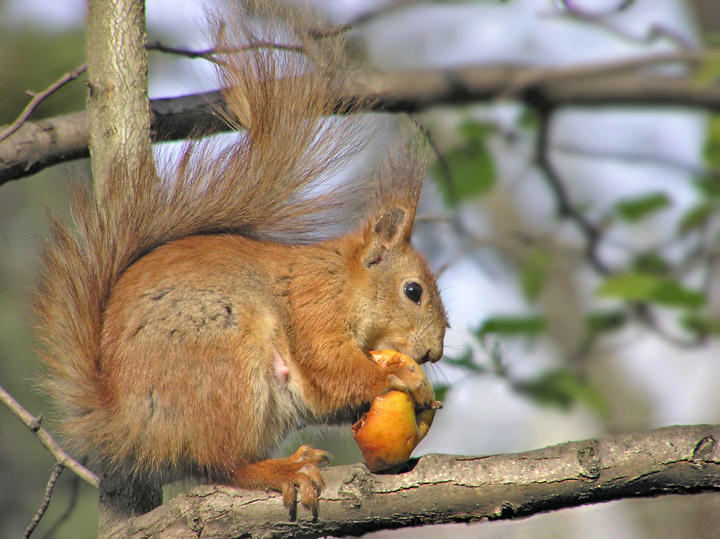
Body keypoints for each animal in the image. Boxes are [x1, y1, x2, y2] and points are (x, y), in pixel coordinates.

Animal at [34, 4, 447, 513]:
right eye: (413, 291)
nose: (433, 353)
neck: (346, 281)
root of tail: (126, 419)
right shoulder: (313, 304)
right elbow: (332, 369)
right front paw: (400, 376)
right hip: (225, 363)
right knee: (223, 464)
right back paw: (282, 469)